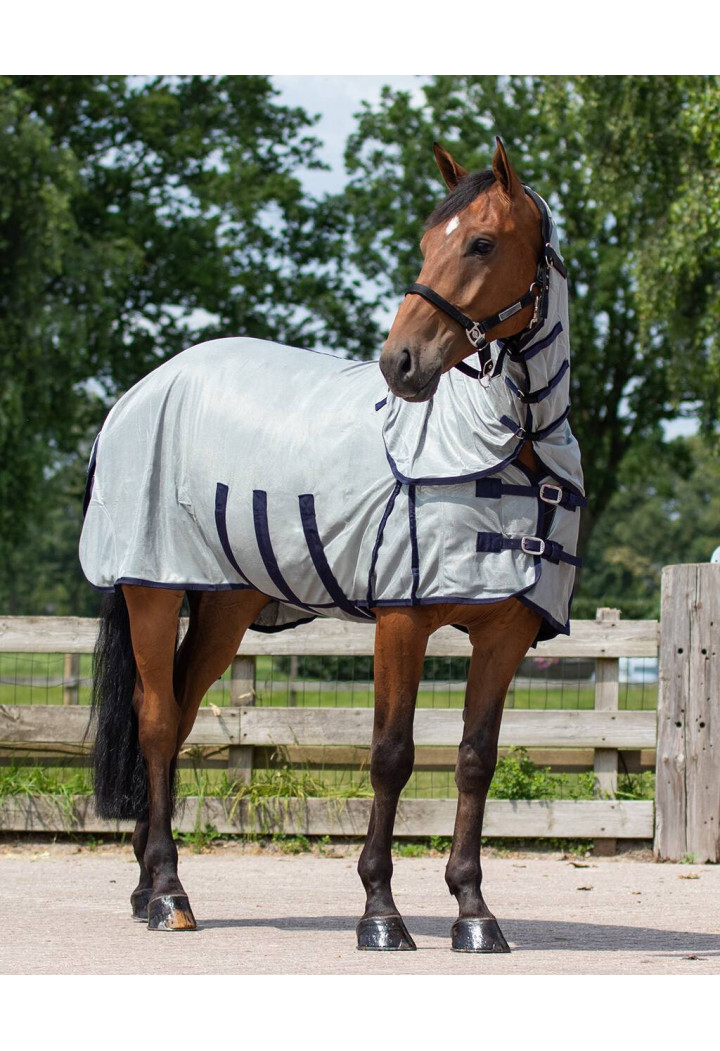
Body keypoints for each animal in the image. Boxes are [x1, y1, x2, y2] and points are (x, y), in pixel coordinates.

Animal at [81, 137, 584, 953]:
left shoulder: (505, 633)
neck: (516, 448)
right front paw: (380, 911)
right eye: (426, 240)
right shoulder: (403, 621)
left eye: (480, 242)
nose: (400, 363)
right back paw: (169, 895)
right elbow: (391, 756)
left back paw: (147, 882)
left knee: (180, 714)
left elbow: (475, 761)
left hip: (224, 607)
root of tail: (140, 391)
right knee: (155, 721)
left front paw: (474, 912)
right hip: (151, 589)